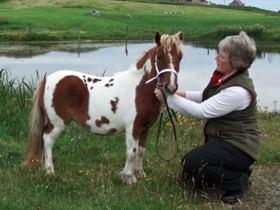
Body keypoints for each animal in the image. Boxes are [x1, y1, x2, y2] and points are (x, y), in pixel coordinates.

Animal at [23, 31, 184, 184]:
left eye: (180, 57)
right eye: (159, 57)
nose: (171, 86)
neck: (139, 88)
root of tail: (46, 80)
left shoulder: (145, 128)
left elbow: (141, 151)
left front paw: (140, 174)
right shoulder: (133, 127)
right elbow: (131, 152)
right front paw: (129, 178)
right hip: (57, 123)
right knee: (47, 140)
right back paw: (49, 172)